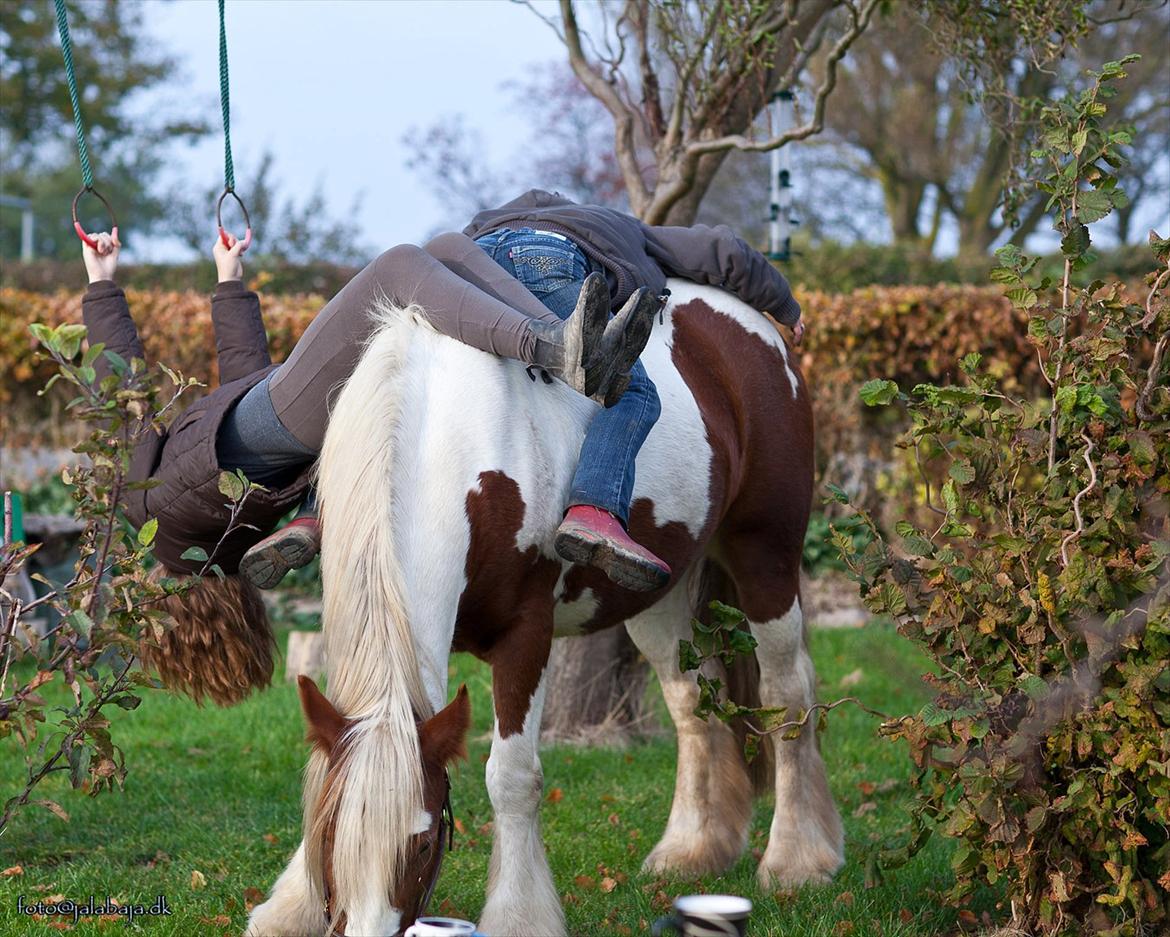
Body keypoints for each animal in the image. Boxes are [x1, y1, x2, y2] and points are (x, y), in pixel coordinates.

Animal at [246, 281, 842, 935]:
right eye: (328, 838)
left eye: (423, 845)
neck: (448, 438)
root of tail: (754, 329)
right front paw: (290, 907)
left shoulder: (526, 635)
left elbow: (511, 777)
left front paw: (519, 917)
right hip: (659, 596)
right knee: (692, 705)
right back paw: (693, 849)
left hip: (766, 557)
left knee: (788, 691)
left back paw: (798, 859)